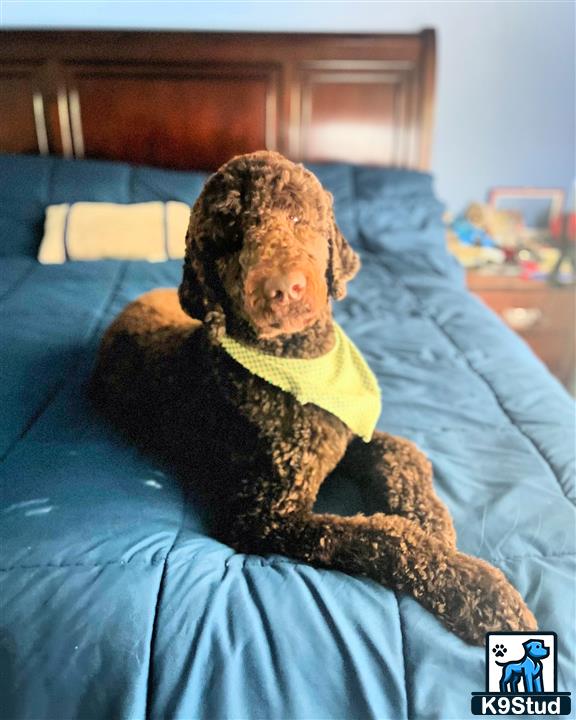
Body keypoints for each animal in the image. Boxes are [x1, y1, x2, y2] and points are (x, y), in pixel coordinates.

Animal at [90, 149, 536, 644]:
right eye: (229, 235)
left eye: (298, 216)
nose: (282, 289)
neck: (299, 364)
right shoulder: (265, 514)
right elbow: (380, 536)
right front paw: (477, 589)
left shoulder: (352, 429)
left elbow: (404, 454)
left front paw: (434, 522)